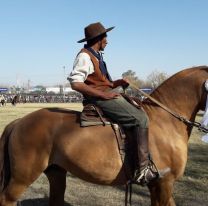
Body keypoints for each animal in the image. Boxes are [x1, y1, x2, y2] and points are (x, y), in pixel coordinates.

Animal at [0, 67, 207, 205]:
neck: (165, 120)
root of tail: (18, 122)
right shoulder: (164, 182)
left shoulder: (157, 186)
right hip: (21, 178)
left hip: (56, 172)